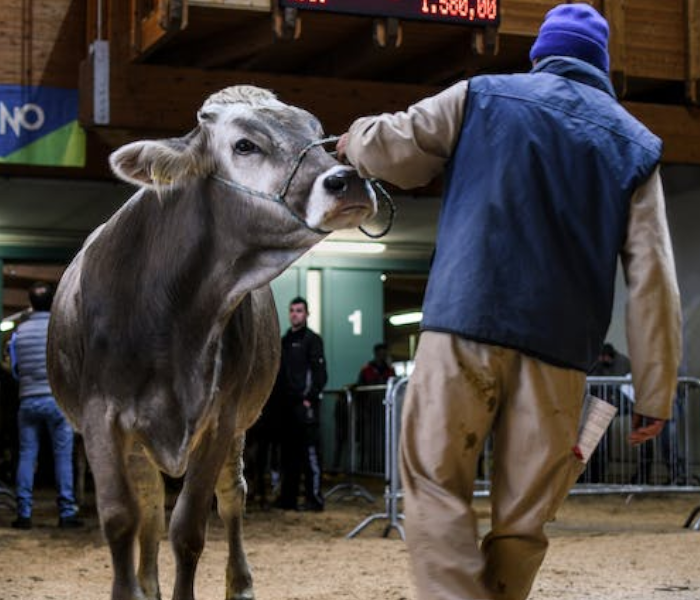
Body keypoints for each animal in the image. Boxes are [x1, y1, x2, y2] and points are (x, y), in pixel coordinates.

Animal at [46, 85, 378, 600]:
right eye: (244, 145)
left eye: (315, 130)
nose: (350, 179)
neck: (169, 317)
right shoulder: (101, 415)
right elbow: (121, 518)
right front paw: (132, 587)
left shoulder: (220, 418)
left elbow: (189, 527)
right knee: (147, 499)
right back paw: (147, 584)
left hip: (240, 428)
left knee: (232, 495)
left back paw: (238, 583)